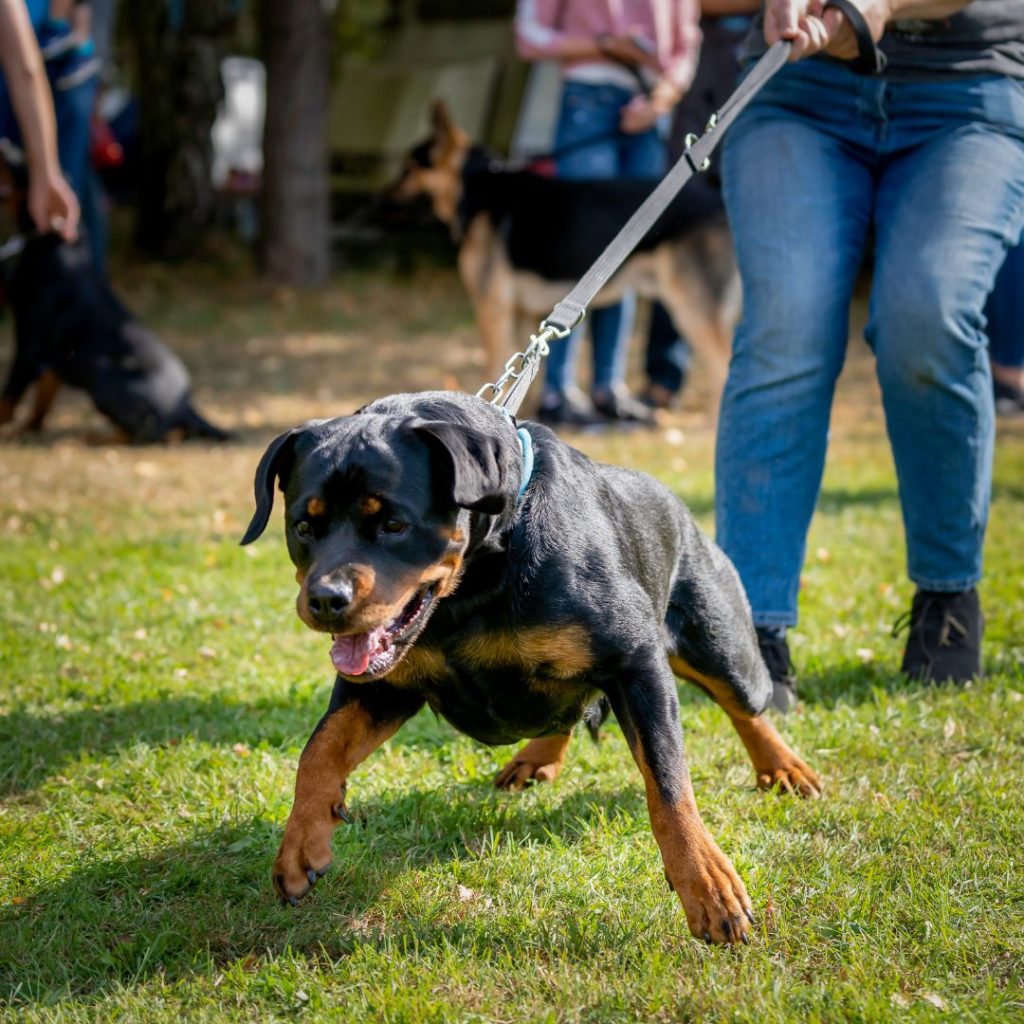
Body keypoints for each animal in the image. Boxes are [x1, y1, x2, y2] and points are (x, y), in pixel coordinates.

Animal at [0, 232, 228, 444]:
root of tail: (185, 405)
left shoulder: (29, 348)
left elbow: (9, 397)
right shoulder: (54, 358)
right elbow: (43, 395)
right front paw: (29, 427)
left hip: (102, 373)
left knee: (140, 435)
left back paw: (92, 439)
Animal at [241, 389, 823, 942]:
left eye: (393, 523)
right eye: (303, 527)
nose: (325, 599)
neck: (472, 586)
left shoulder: (634, 661)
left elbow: (668, 784)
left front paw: (707, 885)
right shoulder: (381, 686)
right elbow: (319, 749)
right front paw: (301, 843)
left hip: (718, 642)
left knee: (745, 703)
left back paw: (783, 768)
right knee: (566, 708)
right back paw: (537, 756)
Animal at [389, 98, 737, 411]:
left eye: (408, 169)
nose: (383, 200)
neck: (477, 186)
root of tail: (718, 200)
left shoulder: (492, 309)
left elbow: (496, 370)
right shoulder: (525, 314)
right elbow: (524, 381)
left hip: (693, 314)